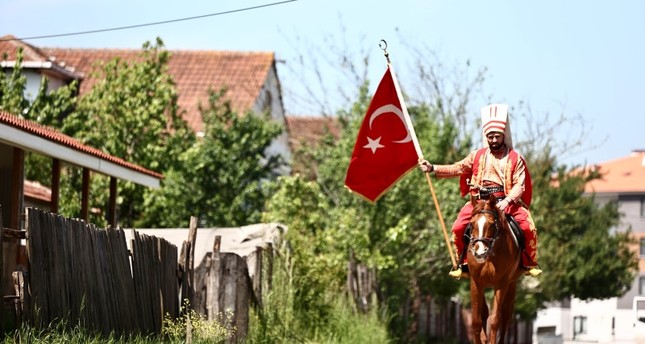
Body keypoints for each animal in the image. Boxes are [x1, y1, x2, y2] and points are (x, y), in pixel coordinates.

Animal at [466, 195, 524, 342]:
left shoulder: (502, 283)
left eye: (492, 224)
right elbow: (476, 321)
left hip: (512, 283)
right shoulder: (476, 282)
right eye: (472, 224)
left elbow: (495, 321)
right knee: (484, 312)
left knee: (506, 315)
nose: (479, 252)